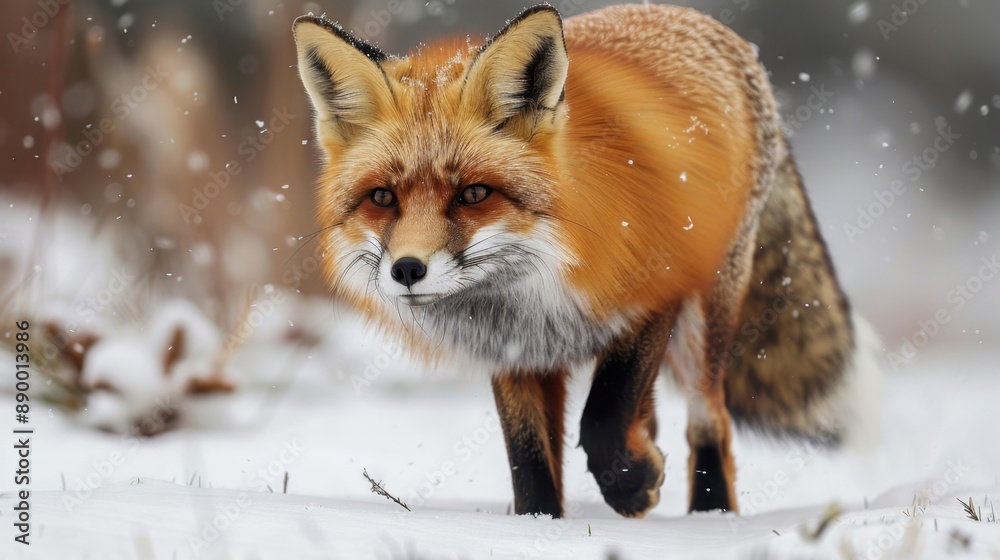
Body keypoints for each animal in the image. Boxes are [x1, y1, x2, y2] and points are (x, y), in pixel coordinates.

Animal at [292, 3, 879, 518]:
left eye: (474, 194)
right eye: (383, 198)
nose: (407, 270)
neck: (536, 289)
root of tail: (712, 26)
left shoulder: (653, 297)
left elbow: (603, 415)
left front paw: (630, 485)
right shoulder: (514, 353)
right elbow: (528, 460)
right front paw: (541, 527)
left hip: (706, 315)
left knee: (709, 417)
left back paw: (709, 516)